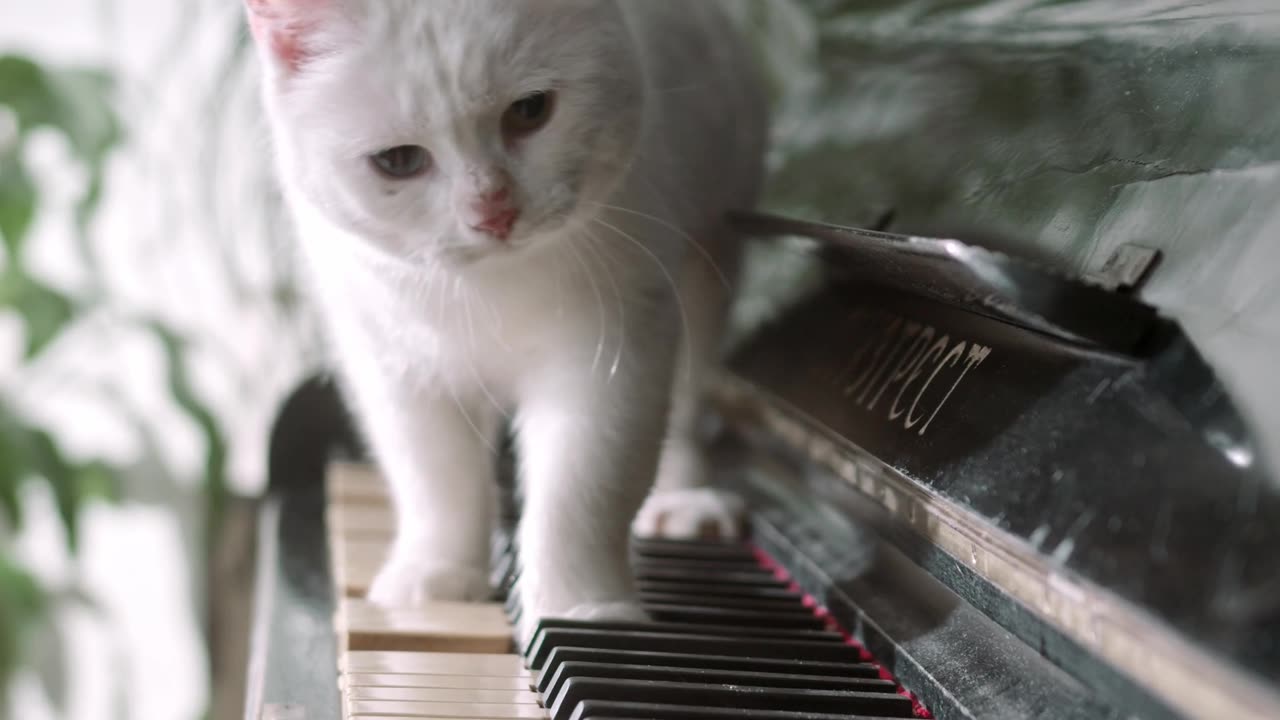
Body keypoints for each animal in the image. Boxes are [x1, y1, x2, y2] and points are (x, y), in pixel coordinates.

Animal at [247, 0, 768, 638]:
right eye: (398, 162)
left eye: (529, 111)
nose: (492, 212)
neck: (489, 288)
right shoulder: (394, 366)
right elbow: (436, 481)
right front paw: (437, 577)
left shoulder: (610, 354)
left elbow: (582, 492)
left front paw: (583, 612)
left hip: (708, 266)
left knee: (687, 403)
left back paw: (684, 501)